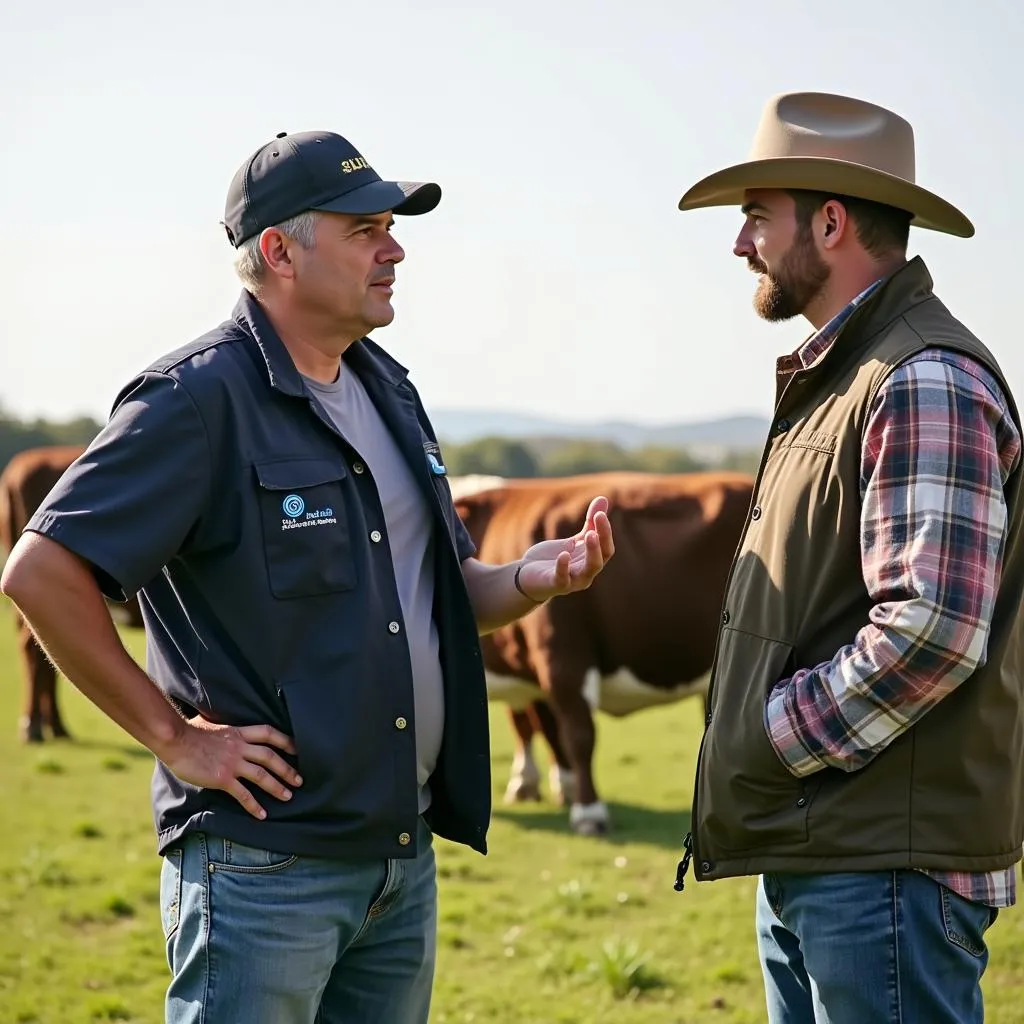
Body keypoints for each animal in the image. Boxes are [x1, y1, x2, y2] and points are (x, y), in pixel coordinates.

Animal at [452, 468, 757, 831]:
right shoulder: (532, 667)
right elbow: (538, 725)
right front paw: (546, 786)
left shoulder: (562, 658)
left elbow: (577, 735)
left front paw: (588, 812)